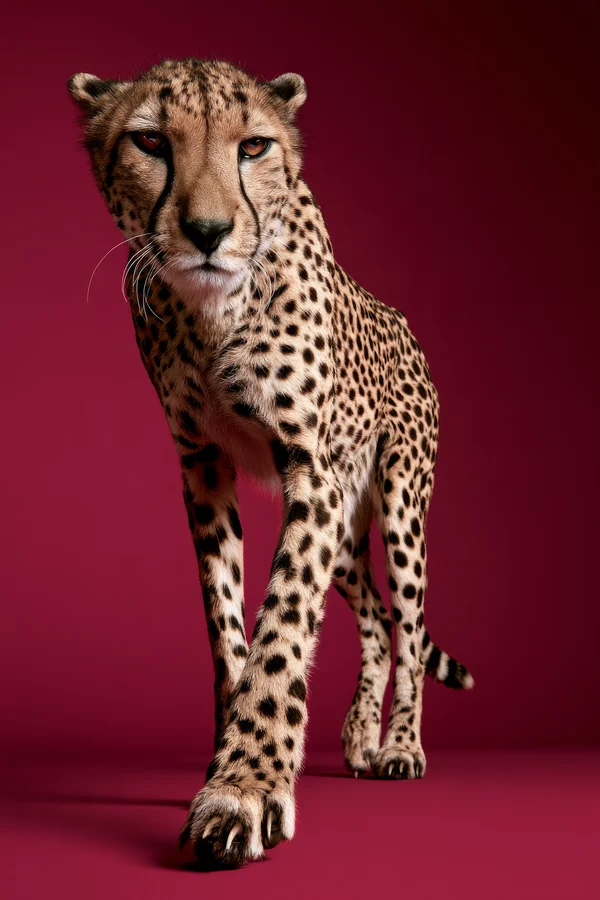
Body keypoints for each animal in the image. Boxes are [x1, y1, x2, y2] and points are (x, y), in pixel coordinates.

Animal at [68, 57, 474, 869]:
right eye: (150, 141)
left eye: (252, 146)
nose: (208, 231)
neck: (210, 312)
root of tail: (404, 323)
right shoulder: (203, 468)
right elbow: (229, 632)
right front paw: (230, 759)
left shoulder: (308, 474)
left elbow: (281, 630)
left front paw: (245, 791)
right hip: (345, 531)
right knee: (376, 619)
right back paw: (358, 738)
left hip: (398, 503)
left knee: (411, 626)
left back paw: (400, 747)